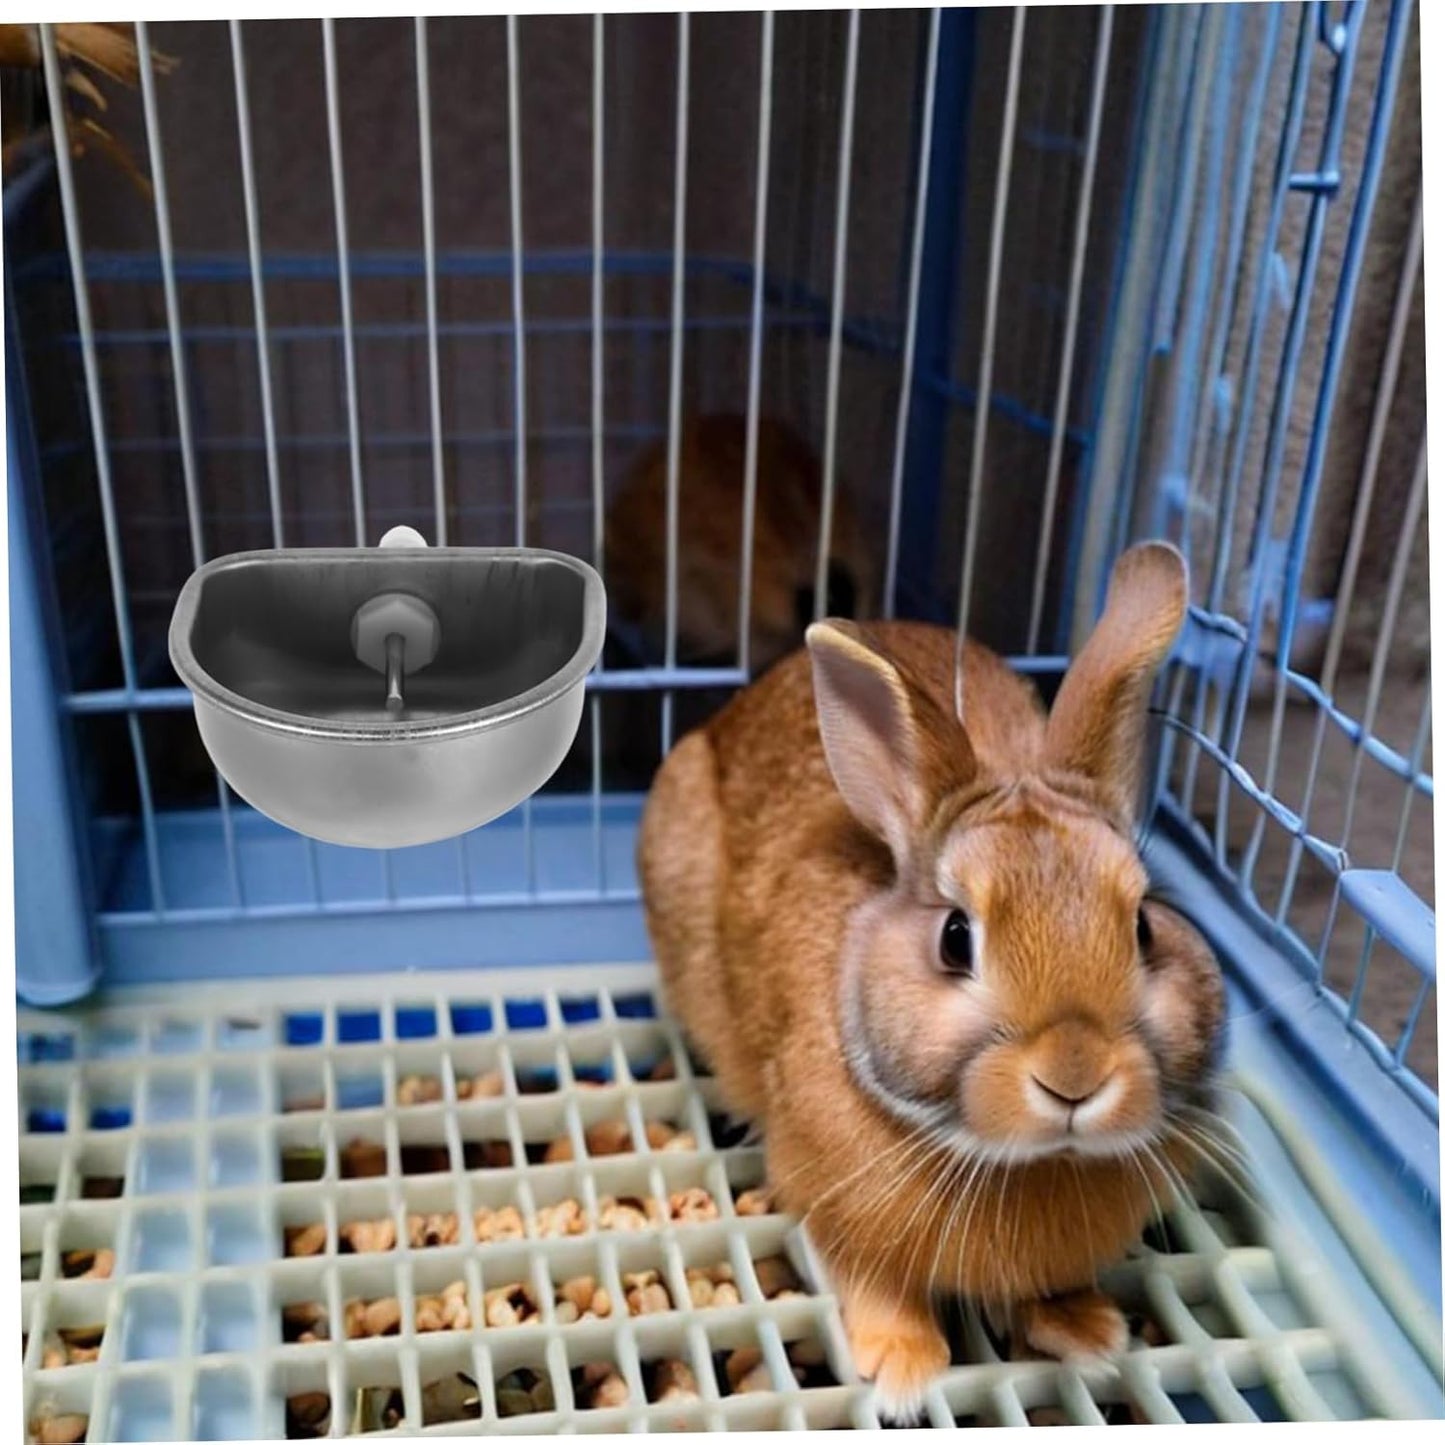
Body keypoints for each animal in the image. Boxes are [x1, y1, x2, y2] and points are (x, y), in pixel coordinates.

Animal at [638, 541, 1227, 1421]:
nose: (1075, 1076)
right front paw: (902, 1369)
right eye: (956, 938)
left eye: (1144, 926)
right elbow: (873, 1284)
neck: (1023, 1161)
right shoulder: (831, 1203)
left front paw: (1088, 1332)